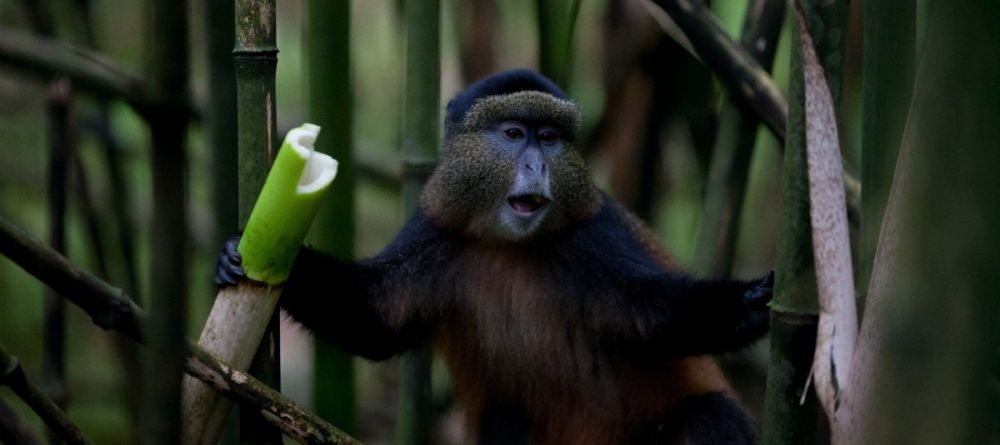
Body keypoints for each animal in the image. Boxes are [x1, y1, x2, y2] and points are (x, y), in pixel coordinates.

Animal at [216, 69, 772, 444]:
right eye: (513, 133)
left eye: (549, 138)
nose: (536, 165)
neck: (510, 246)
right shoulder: (435, 230)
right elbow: (376, 317)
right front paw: (246, 258)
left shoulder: (594, 235)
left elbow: (651, 313)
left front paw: (750, 303)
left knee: (711, 417)